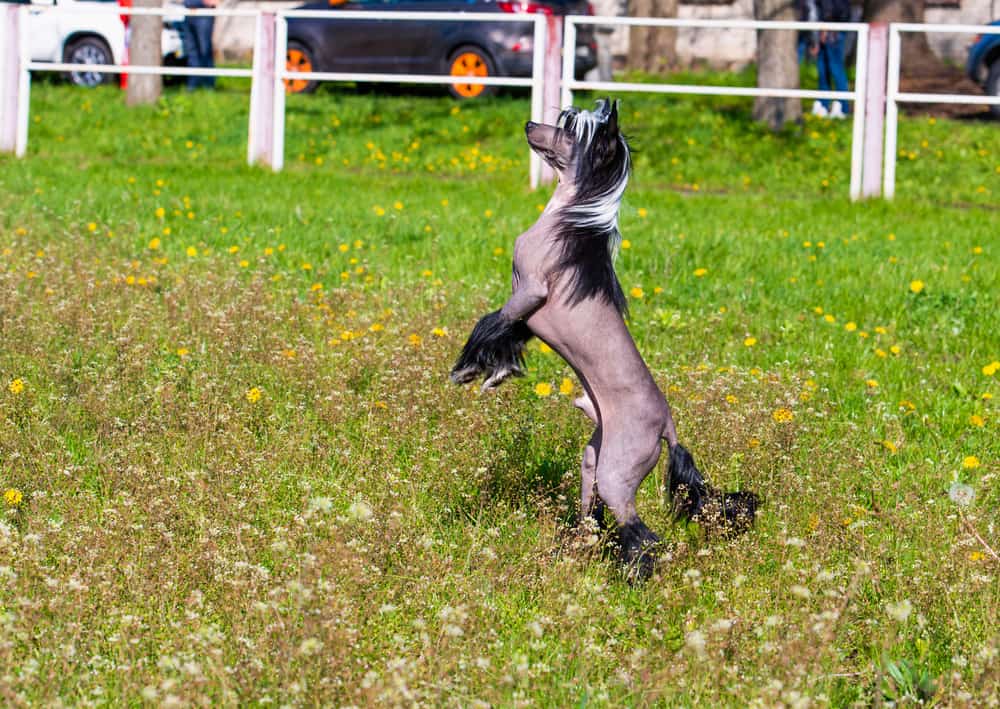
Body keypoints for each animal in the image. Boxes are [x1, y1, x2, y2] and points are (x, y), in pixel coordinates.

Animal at [454, 97, 756, 580]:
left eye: (570, 129)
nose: (529, 124)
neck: (567, 219)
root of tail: (668, 427)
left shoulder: (528, 293)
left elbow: (490, 324)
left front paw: (470, 370)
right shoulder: (527, 316)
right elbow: (507, 337)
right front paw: (495, 374)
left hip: (617, 473)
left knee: (638, 528)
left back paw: (636, 574)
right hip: (592, 459)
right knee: (591, 510)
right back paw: (577, 550)